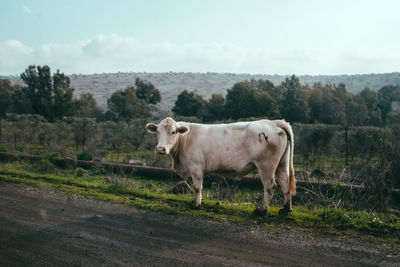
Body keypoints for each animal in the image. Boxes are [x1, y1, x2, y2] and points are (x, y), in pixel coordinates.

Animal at [145, 118, 296, 215]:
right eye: (157, 132)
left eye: (173, 132)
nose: (160, 149)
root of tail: (273, 122)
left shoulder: (196, 167)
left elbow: (197, 187)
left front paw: (196, 204)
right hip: (282, 163)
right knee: (285, 183)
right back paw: (286, 209)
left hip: (266, 166)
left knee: (270, 186)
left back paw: (262, 210)